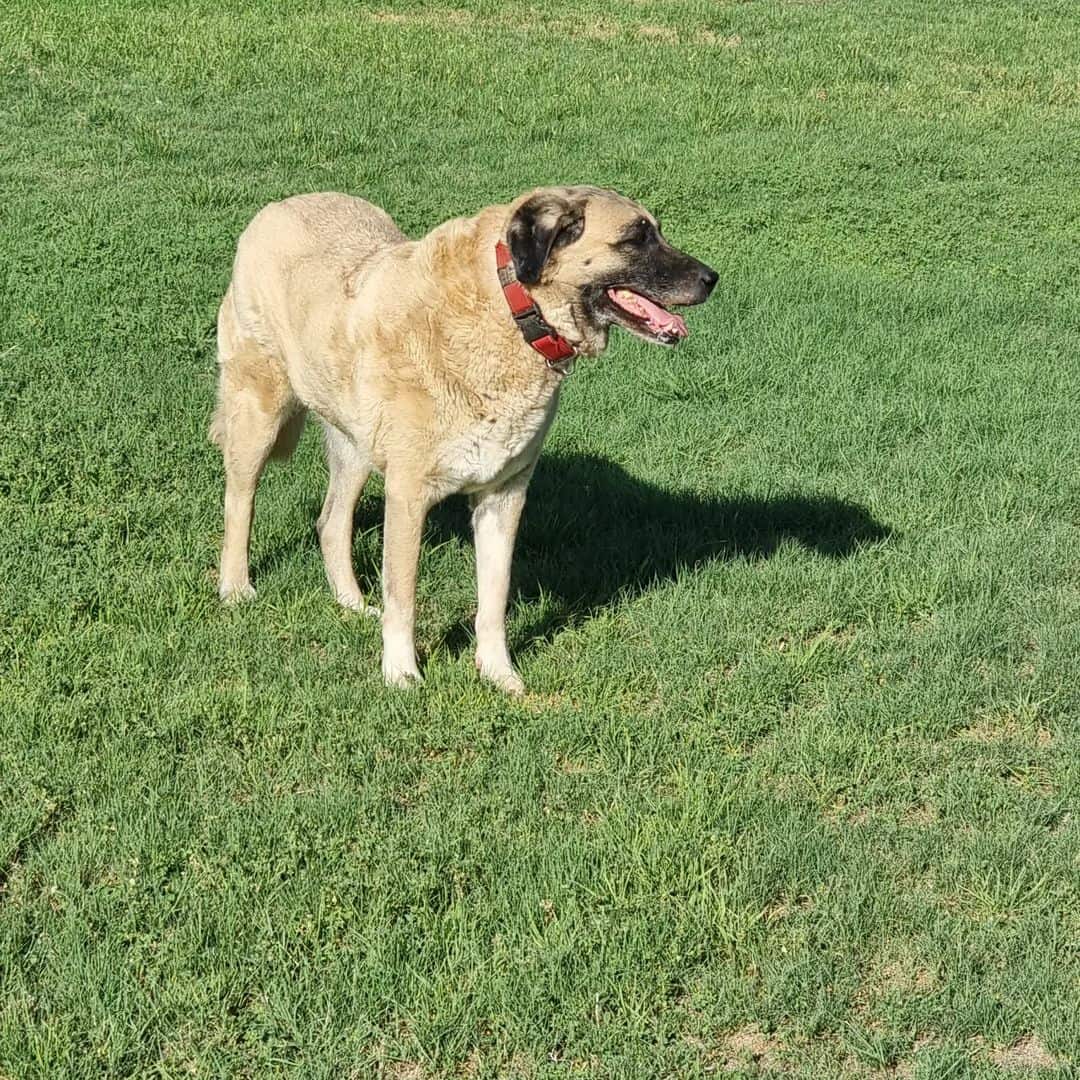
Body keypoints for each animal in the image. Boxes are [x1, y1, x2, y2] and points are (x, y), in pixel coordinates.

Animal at [210, 185, 717, 691]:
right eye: (636, 237)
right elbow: (403, 598)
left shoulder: (503, 496)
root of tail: (279, 205)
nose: (712, 278)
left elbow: (493, 600)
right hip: (258, 411)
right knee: (240, 502)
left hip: (354, 443)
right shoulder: (407, 495)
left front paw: (499, 674)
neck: (511, 309)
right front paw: (402, 675)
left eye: (656, 231)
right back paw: (236, 589)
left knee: (331, 521)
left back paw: (351, 604)